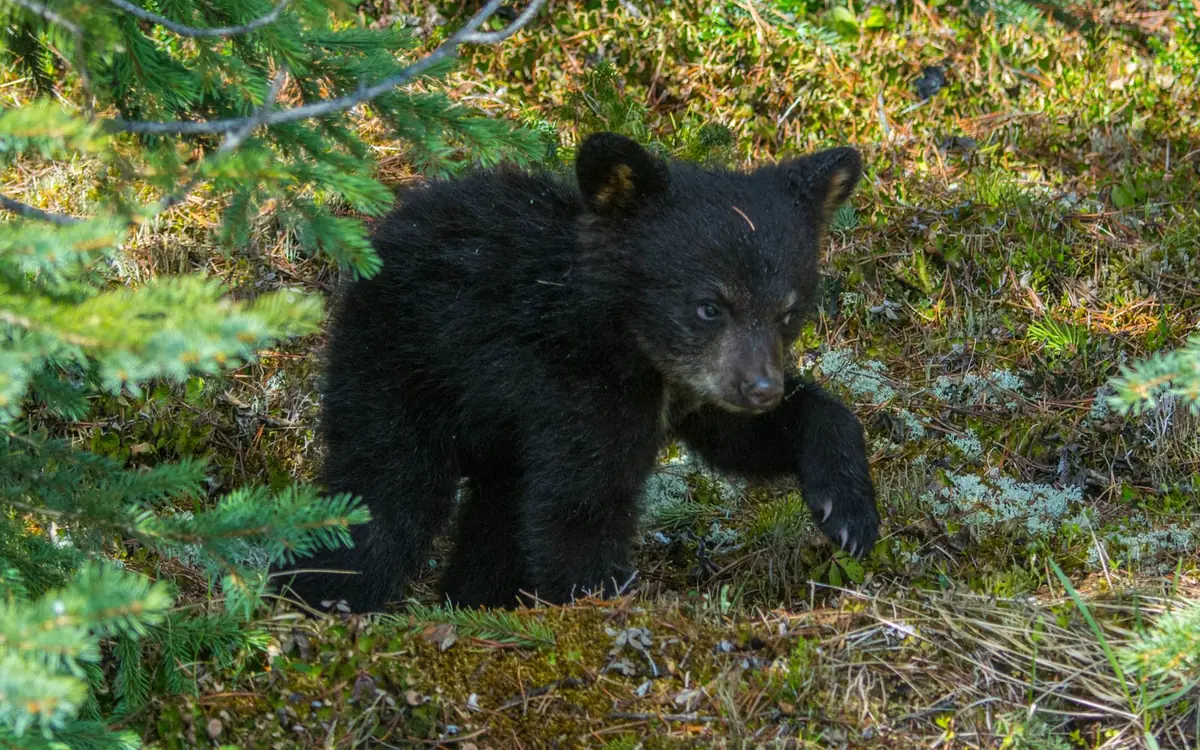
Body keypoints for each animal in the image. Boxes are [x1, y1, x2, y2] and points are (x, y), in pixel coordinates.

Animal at [277, 132, 880, 612]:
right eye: (710, 305)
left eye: (788, 311)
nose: (761, 388)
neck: (623, 342)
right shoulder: (576, 389)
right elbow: (579, 507)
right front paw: (601, 606)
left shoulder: (694, 388)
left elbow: (745, 440)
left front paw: (849, 510)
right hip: (400, 367)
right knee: (387, 490)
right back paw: (326, 596)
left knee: (496, 517)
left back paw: (471, 602)